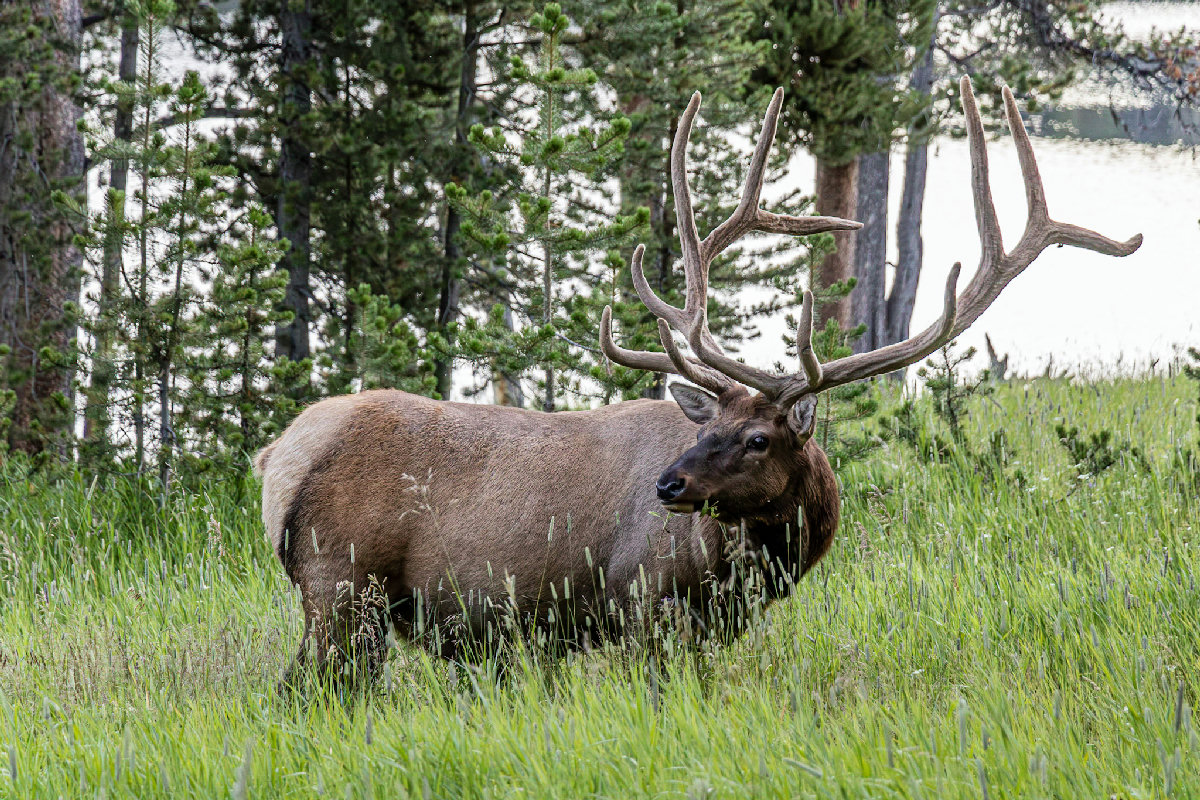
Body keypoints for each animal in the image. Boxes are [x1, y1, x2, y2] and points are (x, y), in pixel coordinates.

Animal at [255, 77, 1141, 685]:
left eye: (753, 437)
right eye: (703, 425)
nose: (668, 485)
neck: (756, 564)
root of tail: (275, 462)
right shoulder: (645, 602)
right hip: (343, 586)